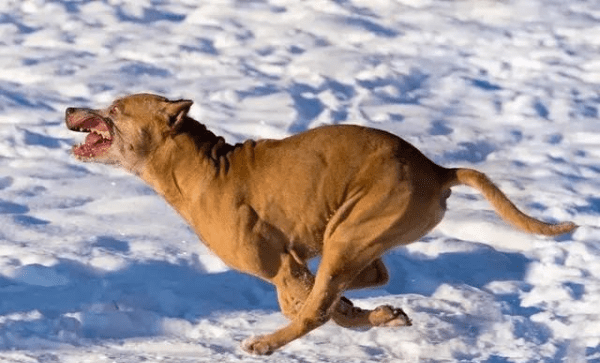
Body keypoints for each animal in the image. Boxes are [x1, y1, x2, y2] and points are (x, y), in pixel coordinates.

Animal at [64, 93, 576, 356]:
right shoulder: (293, 261)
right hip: (351, 237)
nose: (69, 109)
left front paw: (341, 313)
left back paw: (268, 343)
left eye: (115, 110)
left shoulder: (280, 264)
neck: (202, 168)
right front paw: (370, 313)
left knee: (320, 304)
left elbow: (306, 305)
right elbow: (319, 299)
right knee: (371, 276)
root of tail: (436, 169)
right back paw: (374, 310)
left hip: (349, 233)